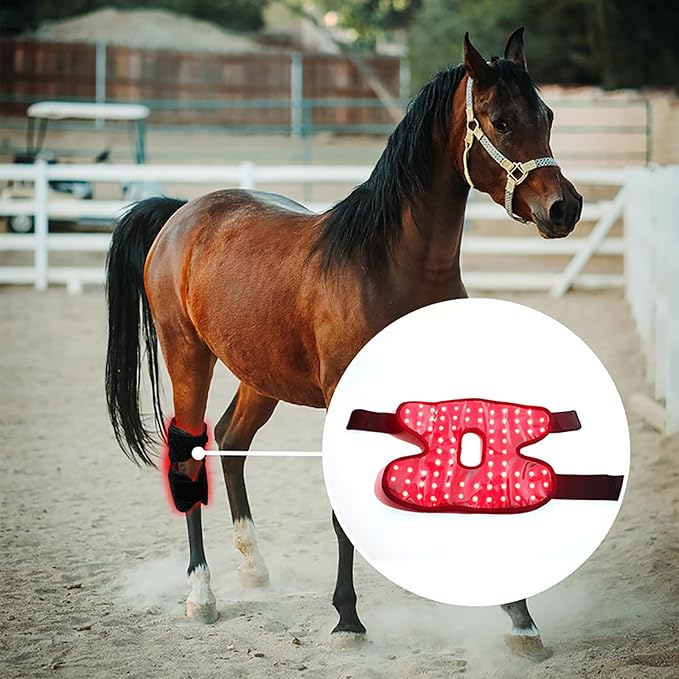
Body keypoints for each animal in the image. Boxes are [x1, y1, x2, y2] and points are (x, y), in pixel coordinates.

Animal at [105, 28, 582, 659]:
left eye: (546, 114)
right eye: (501, 121)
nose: (564, 207)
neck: (388, 266)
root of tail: (182, 213)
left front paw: (519, 618)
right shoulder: (343, 399)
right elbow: (343, 513)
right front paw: (348, 620)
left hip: (260, 376)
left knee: (231, 442)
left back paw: (254, 568)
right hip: (188, 357)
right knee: (189, 454)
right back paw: (201, 596)